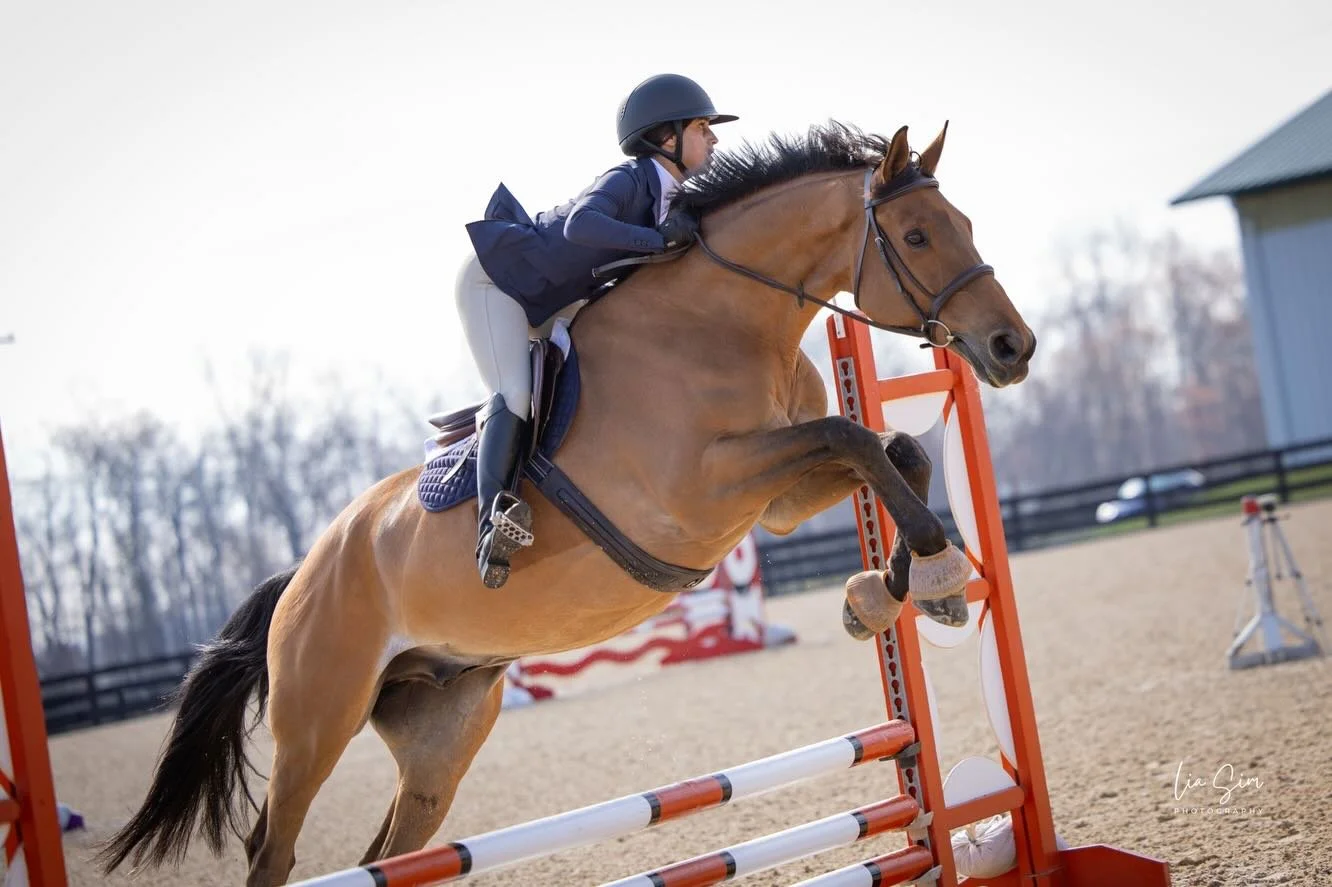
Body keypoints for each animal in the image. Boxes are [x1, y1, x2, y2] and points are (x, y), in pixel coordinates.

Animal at [100, 121, 1035, 886]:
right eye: (915, 233)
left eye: (967, 225)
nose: (1012, 347)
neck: (727, 318)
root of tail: (300, 573)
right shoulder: (705, 488)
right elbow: (854, 436)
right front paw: (934, 575)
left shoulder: (776, 497)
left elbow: (895, 450)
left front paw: (890, 588)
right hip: (316, 722)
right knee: (275, 850)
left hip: (442, 731)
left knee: (388, 852)